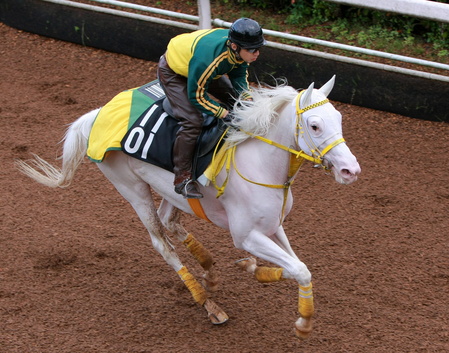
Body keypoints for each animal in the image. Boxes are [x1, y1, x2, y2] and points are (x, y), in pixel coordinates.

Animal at [16, 75, 360, 336]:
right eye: (314, 125)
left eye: (340, 119)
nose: (350, 170)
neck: (260, 163)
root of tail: (98, 113)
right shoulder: (246, 235)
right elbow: (299, 269)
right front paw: (303, 322)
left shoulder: (272, 226)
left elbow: (296, 266)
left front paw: (251, 268)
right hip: (132, 188)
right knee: (161, 241)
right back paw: (208, 303)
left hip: (173, 192)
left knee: (171, 222)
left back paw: (209, 271)